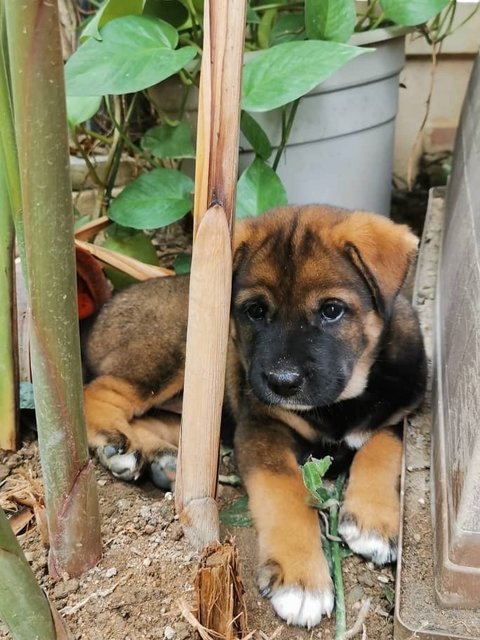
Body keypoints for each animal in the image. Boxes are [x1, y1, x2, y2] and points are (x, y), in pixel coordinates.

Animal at [83, 206, 428, 632]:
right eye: (255, 311)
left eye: (332, 310)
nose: (282, 382)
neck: (341, 403)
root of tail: (104, 311)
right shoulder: (262, 427)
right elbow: (286, 492)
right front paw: (301, 580)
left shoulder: (401, 414)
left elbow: (380, 447)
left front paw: (373, 522)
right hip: (178, 350)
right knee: (99, 392)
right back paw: (117, 443)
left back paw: (160, 458)